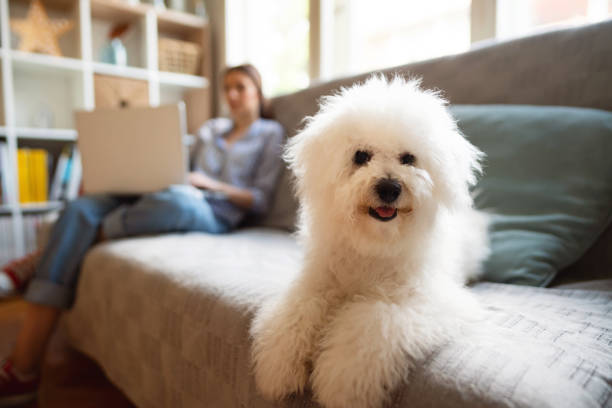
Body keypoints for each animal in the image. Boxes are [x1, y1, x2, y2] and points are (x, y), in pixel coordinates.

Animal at [251, 75, 490, 408]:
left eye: (408, 158)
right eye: (361, 156)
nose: (389, 188)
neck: (373, 242)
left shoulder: (421, 300)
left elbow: (371, 328)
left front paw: (339, 385)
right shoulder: (317, 283)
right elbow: (293, 315)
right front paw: (279, 369)